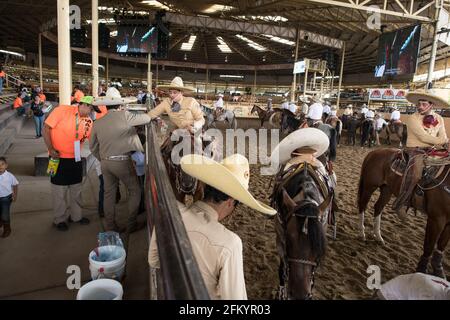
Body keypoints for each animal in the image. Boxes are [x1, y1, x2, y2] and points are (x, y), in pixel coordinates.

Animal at [356, 149, 448, 278]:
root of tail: (373, 152)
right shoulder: (436, 219)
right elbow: (429, 246)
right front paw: (421, 271)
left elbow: (441, 246)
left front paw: (439, 271)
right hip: (369, 187)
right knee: (362, 206)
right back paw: (362, 233)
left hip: (386, 189)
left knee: (378, 207)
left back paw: (378, 236)